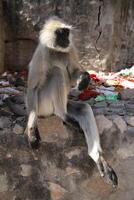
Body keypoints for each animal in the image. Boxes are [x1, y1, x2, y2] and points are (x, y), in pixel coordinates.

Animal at [25, 17, 118, 188]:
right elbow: (32, 88)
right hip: (42, 104)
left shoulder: (70, 49)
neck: (56, 51)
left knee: (84, 109)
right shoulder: (42, 52)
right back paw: (63, 115)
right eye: (60, 33)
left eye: (66, 32)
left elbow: (74, 72)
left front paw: (84, 78)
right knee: (56, 73)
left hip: (64, 104)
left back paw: (99, 159)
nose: (66, 38)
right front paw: (31, 129)